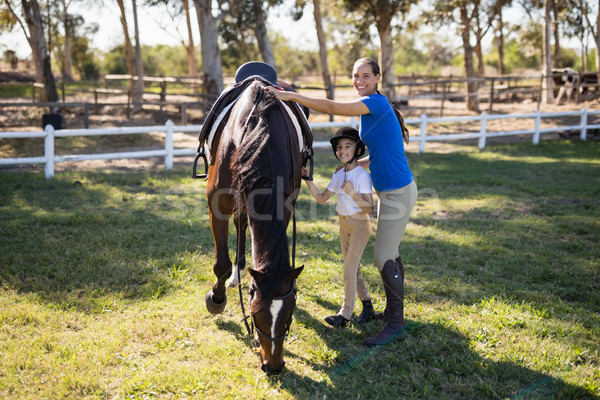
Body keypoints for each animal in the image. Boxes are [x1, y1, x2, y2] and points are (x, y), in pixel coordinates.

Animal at [198, 76, 312, 374]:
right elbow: (221, 265)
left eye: (288, 314)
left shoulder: (284, 205)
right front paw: (216, 299)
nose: (273, 366)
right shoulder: (217, 204)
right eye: (255, 313)